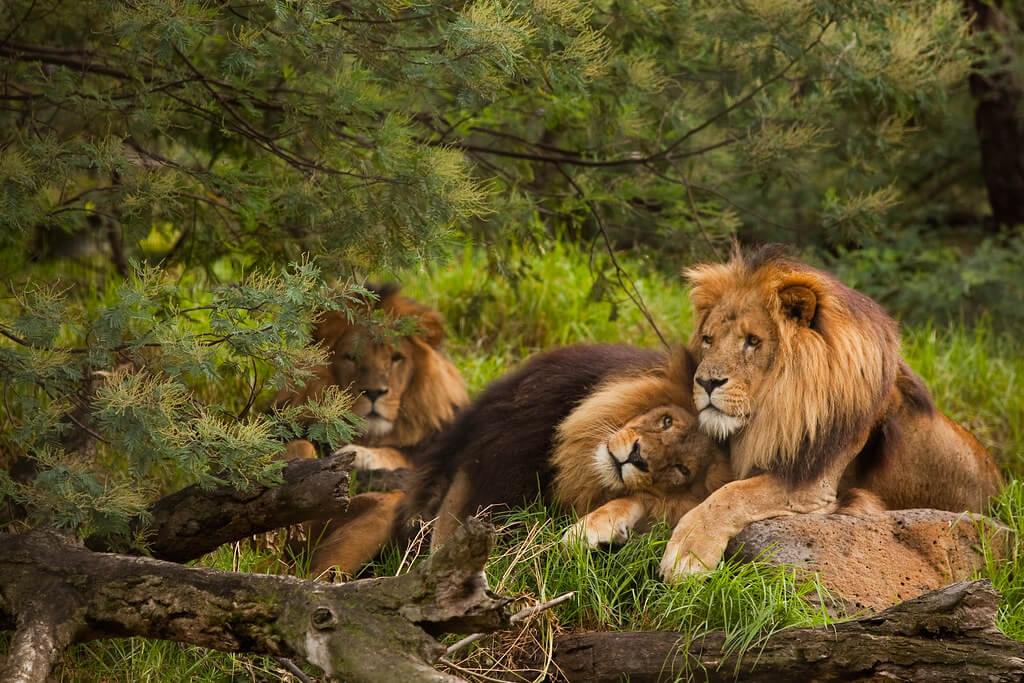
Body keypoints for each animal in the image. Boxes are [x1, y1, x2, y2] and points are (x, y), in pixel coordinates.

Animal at [659, 242, 1003, 581]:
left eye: (753, 341)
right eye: (708, 339)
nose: (706, 382)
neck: (777, 408)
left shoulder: (812, 484)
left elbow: (733, 495)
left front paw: (687, 553)